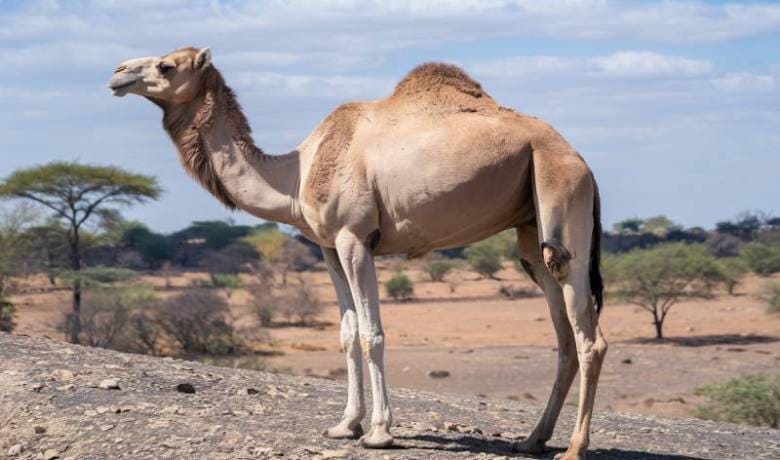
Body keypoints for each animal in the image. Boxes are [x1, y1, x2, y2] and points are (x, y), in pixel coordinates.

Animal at [108, 47, 608, 460]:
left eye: (165, 65)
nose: (117, 74)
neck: (296, 173)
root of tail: (582, 159)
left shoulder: (355, 237)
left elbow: (372, 333)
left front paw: (379, 433)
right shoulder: (327, 246)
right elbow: (347, 333)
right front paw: (345, 425)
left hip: (561, 191)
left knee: (589, 336)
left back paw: (573, 449)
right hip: (530, 228)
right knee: (563, 334)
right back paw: (532, 440)